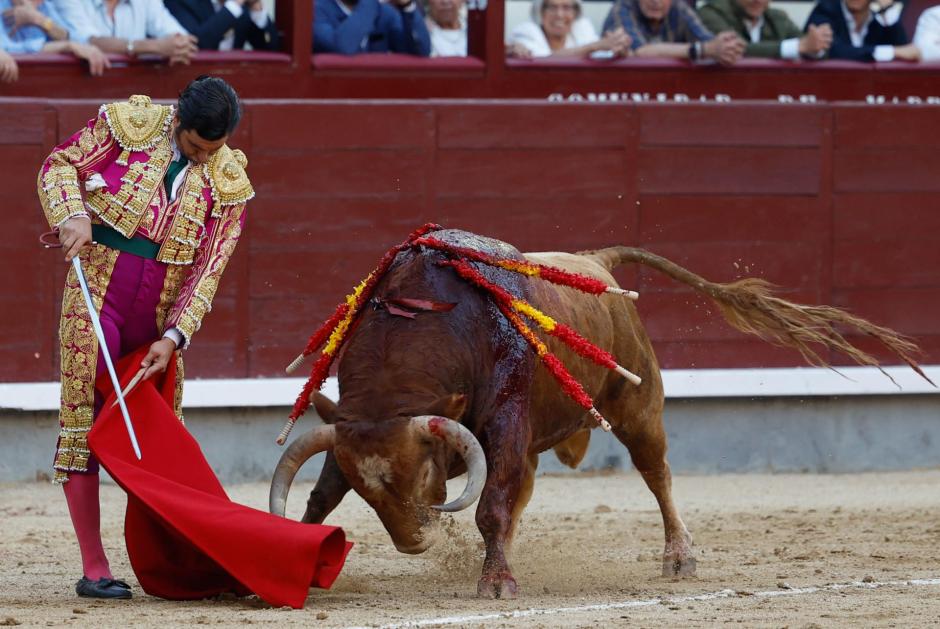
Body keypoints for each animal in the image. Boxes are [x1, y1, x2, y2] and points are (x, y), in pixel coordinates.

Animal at [266, 228, 924, 596]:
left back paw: (679, 557)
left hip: (638, 408)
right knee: (528, 490)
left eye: (421, 474)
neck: (424, 320)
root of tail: (596, 262)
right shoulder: (352, 424)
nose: (412, 544)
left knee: (656, 473)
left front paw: (497, 583)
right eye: (368, 490)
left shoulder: (504, 423)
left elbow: (491, 505)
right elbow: (321, 496)